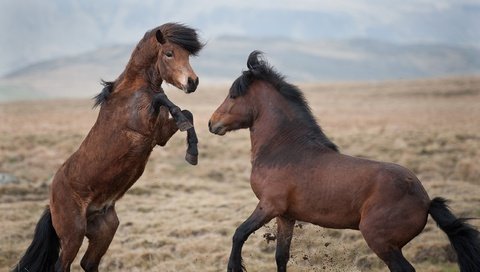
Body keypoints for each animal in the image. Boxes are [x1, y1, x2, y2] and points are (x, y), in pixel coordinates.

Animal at [13, 23, 204, 272]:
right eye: (169, 53)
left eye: (187, 55)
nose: (192, 82)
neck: (133, 90)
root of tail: (51, 202)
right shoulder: (143, 125)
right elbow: (163, 100)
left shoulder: (159, 135)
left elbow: (187, 114)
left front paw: (192, 152)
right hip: (73, 234)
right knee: (62, 265)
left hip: (105, 229)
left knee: (88, 263)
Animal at [208, 51, 480, 272]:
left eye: (233, 95)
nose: (212, 123)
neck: (285, 148)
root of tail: (425, 199)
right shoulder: (286, 216)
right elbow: (281, 257)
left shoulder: (269, 206)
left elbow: (239, 234)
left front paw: (234, 266)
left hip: (382, 243)